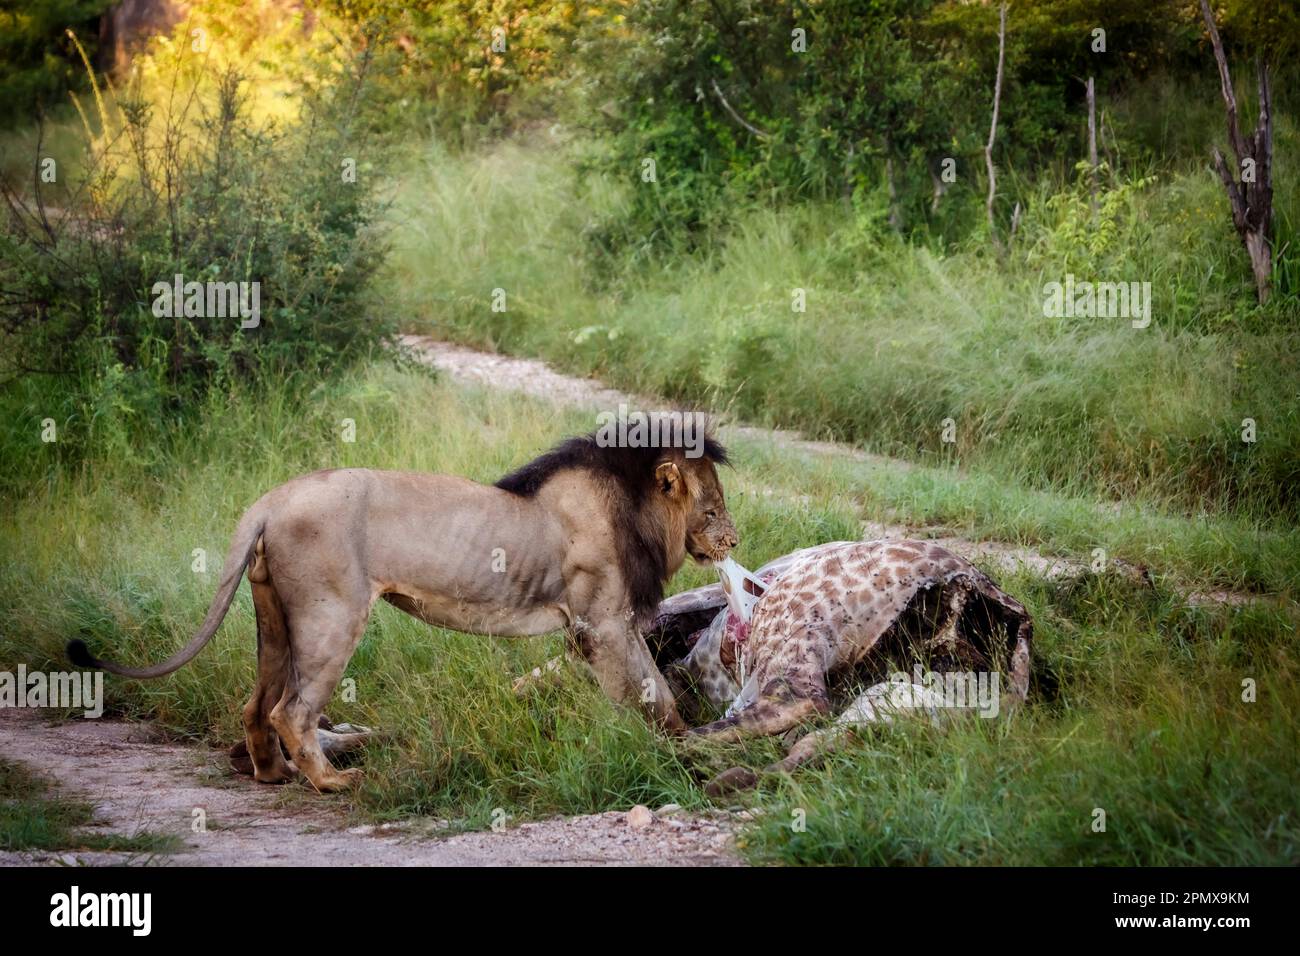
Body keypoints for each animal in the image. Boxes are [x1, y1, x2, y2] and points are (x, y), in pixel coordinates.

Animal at [71, 426, 738, 790]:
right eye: (711, 509)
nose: (732, 540)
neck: (634, 510)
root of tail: (270, 499)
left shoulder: (600, 626)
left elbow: (651, 688)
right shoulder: (600, 624)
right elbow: (653, 691)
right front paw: (674, 746)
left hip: (274, 617)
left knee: (256, 705)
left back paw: (273, 774)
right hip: (332, 615)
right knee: (293, 710)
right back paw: (331, 781)